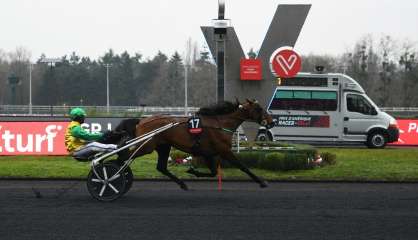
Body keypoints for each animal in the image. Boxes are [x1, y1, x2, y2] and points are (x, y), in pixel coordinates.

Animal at [125, 98, 274, 190]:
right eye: (259, 108)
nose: (271, 122)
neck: (220, 124)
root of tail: (141, 121)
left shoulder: (208, 153)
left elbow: (214, 172)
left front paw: (192, 171)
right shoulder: (224, 150)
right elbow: (243, 166)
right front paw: (262, 182)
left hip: (163, 146)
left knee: (161, 167)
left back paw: (183, 184)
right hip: (146, 146)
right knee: (126, 156)